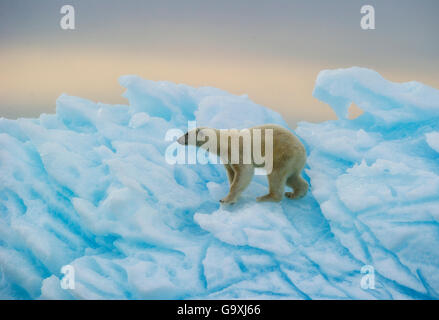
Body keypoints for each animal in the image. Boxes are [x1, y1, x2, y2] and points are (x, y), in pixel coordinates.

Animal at [177, 124, 308, 204]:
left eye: (186, 134)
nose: (178, 139)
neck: (223, 142)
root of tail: (303, 151)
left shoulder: (237, 151)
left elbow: (245, 171)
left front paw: (225, 200)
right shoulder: (226, 158)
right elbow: (232, 173)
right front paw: (235, 197)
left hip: (282, 155)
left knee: (276, 176)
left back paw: (265, 197)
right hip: (292, 162)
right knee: (292, 177)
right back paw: (295, 193)